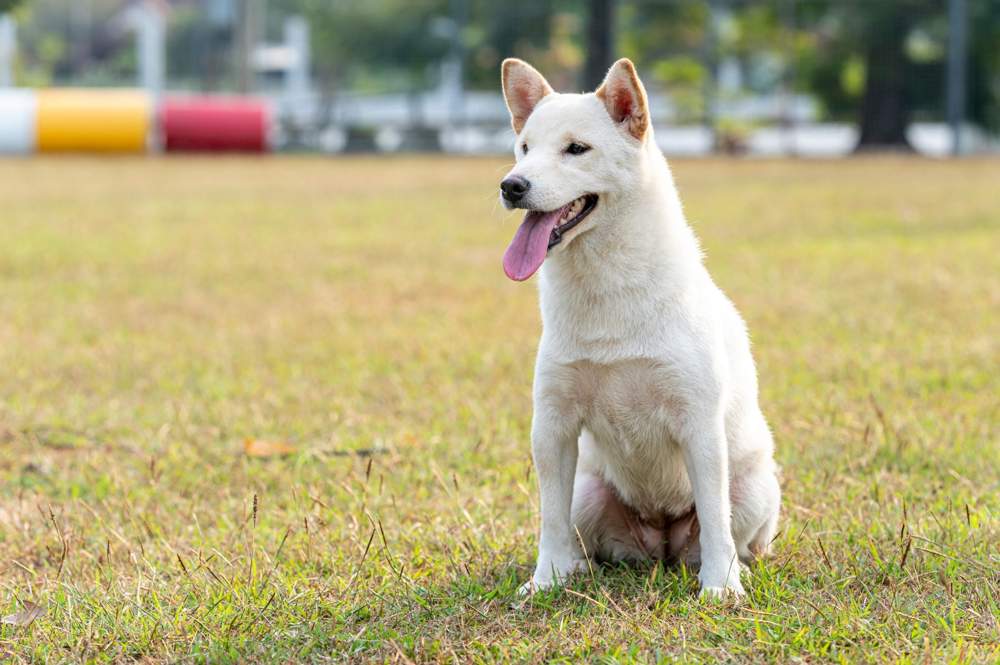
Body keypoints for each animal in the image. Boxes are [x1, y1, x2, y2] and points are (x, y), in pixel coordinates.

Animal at [500, 57, 780, 596]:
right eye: (524, 148)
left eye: (576, 149)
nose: (511, 186)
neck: (606, 290)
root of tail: (661, 540)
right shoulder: (553, 424)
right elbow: (549, 518)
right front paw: (545, 580)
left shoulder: (698, 422)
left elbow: (714, 518)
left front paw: (721, 587)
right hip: (588, 492)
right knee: (585, 538)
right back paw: (577, 568)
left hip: (754, 487)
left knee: (734, 537)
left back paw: (733, 567)